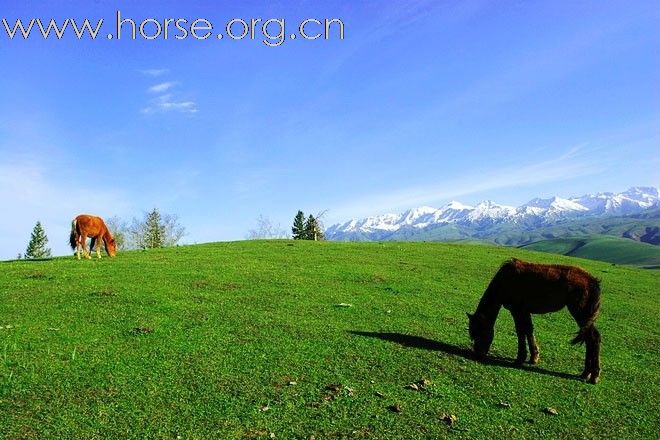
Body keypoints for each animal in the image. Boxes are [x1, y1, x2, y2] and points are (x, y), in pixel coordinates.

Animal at [466, 260, 600, 384]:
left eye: (480, 332)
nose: (478, 354)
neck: (504, 280)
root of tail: (593, 281)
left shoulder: (517, 310)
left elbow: (520, 331)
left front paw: (520, 359)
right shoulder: (525, 311)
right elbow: (529, 330)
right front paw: (534, 357)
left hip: (580, 313)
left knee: (593, 338)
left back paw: (594, 375)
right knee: (589, 339)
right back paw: (586, 373)